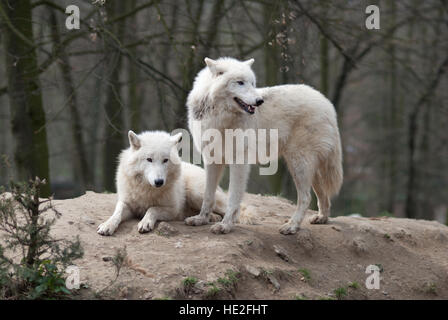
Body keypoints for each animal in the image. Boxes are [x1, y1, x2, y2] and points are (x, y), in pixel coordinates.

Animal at [96, 130, 248, 235]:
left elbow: (152, 209)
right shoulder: (126, 203)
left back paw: (222, 222)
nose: (159, 182)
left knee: (235, 211)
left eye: (165, 160)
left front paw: (145, 222)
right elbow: (117, 213)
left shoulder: (173, 210)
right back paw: (209, 217)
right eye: (149, 159)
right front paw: (107, 225)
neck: (147, 190)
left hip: (196, 193)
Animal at [184, 56, 342, 234]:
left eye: (252, 83)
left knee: (306, 198)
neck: (219, 117)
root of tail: (327, 103)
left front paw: (226, 225)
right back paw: (322, 218)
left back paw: (292, 226)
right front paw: (201, 219)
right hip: (308, 167)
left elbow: (233, 197)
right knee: (322, 195)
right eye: (240, 82)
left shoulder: (239, 162)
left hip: (298, 164)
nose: (259, 101)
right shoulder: (212, 160)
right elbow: (208, 195)